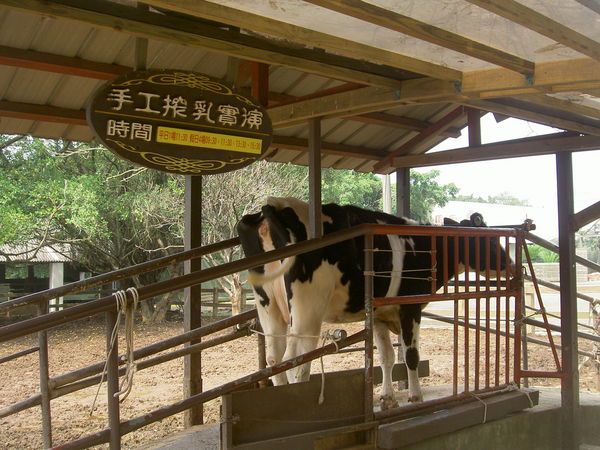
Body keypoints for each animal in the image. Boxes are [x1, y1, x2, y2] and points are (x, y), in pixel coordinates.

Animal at [236, 197, 510, 408]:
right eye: (490, 241)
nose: (511, 264)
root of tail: (275, 205)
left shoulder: (379, 314)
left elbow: (386, 357)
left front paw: (388, 399)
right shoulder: (410, 307)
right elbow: (411, 355)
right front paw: (415, 397)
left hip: (269, 307)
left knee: (274, 359)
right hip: (307, 312)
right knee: (296, 361)